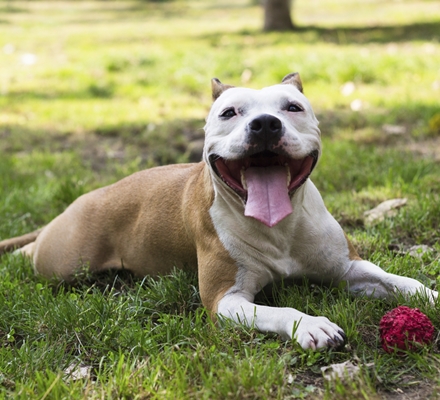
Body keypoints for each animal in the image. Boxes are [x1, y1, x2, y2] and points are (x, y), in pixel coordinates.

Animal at [0, 72, 436, 350]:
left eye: (292, 107)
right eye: (230, 112)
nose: (265, 124)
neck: (279, 228)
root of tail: (84, 198)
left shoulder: (347, 268)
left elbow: (398, 280)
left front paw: (430, 292)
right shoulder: (226, 300)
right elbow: (280, 309)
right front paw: (311, 325)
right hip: (65, 262)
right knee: (35, 254)